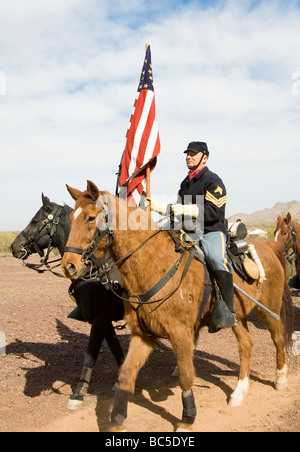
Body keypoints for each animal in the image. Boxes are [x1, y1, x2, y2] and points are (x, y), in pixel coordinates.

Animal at [10, 194, 125, 410]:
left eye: (35, 221)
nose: (14, 247)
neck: (95, 272)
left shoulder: (100, 319)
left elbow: (90, 354)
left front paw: (78, 393)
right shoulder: (104, 321)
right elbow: (116, 349)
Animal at [61, 182, 292, 432]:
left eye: (90, 217)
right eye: (70, 218)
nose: (68, 265)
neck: (156, 266)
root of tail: (269, 245)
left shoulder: (180, 334)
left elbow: (186, 376)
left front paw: (187, 419)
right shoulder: (143, 335)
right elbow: (126, 375)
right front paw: (117, 420)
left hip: (268, 309)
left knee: (278, 338)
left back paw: (280, 379)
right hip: (237, 318)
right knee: (246, 345)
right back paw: (239, 392)